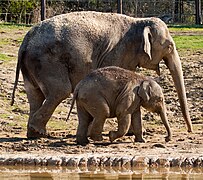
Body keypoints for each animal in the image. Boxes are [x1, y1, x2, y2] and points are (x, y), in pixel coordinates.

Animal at [11, 11, 193, 138]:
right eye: (169, 46)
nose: (189, 131)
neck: (138, 21)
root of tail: (25, 42)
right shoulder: (118, 53)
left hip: (32, 66)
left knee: (35, 95)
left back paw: (34, 135)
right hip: (48, 62)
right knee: (59, 91)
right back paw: (39, 132)